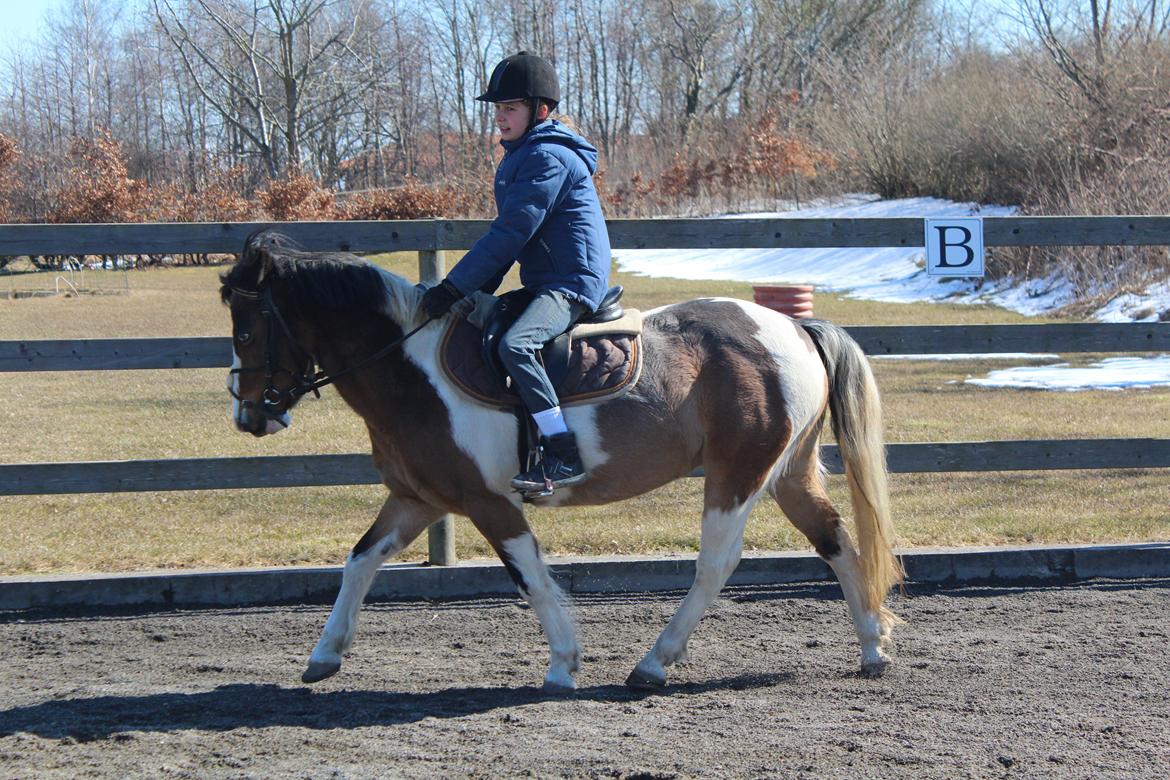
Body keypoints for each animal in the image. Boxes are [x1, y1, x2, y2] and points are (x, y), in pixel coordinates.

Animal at [219, 229, 898, 692]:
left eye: (246, 330)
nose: (249, 415)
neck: (410, 370)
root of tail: (792, 328)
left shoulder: (488, 502)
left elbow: (530, 577)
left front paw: (563, 664)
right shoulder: (417, 499)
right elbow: (359, 561)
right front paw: (325, 655)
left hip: (739, 474)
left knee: (717, 564)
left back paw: (654, 662)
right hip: (788, 474)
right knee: (836, 541)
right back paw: (872, 648)